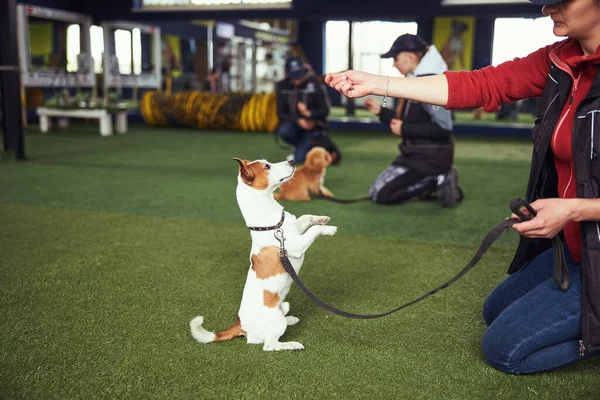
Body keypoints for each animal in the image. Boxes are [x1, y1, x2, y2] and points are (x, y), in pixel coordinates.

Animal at [190, 158, 336, 352]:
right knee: (269, 345)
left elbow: (306, 217)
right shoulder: (297, 245)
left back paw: (291, 319)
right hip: (275, 324)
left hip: (282, 306)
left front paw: (321, 219)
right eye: (267, 166)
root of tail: (240, 325)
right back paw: (292, 344)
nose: (292, 160)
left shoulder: (296, 229)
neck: (271, 223)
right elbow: (315, 230)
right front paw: (329, 229)